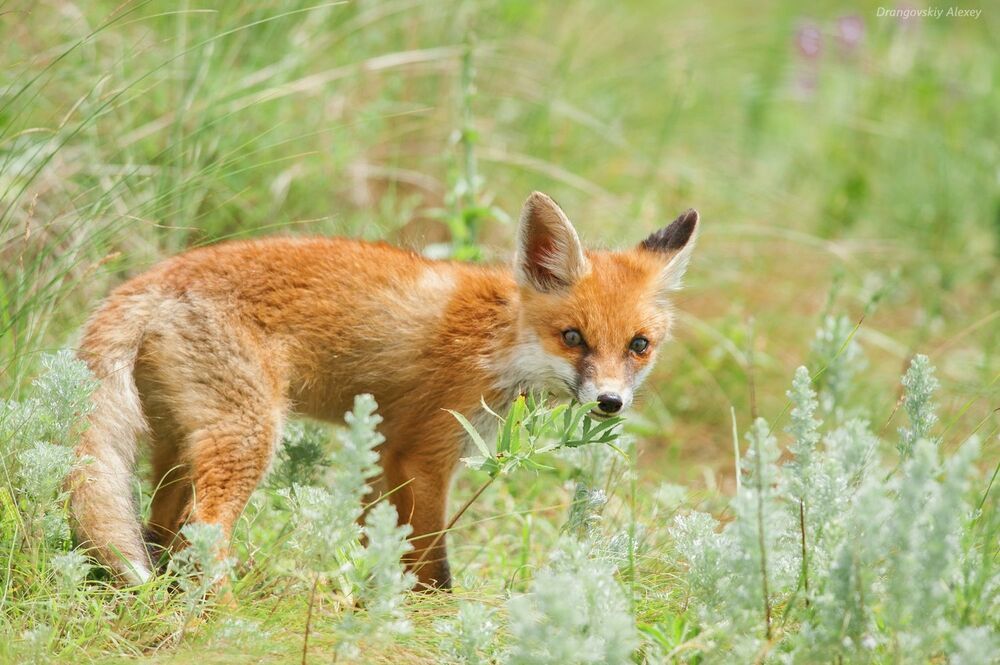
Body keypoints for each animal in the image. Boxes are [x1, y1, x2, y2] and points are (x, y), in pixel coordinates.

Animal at [69, 192, 699, 590]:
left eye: (639, 346)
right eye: (573, 337)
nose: (610, 402)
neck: (500, 340)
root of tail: (150, 280)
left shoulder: (380, 453)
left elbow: (381, 546)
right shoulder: (423, 451)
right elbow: (433, 565)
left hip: (179, 445)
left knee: (160, 532)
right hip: (249, 436)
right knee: (200, 532)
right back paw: (222, 615)